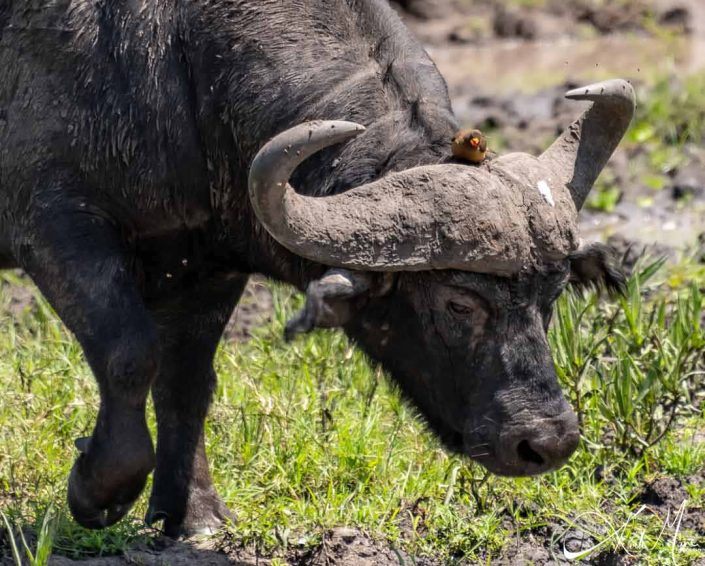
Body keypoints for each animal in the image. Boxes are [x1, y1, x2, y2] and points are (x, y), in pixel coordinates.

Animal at [1, 0, 632, 540]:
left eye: (552, 296)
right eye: (458, 303)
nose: (546, 442)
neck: (178, 68)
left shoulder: (207, 265)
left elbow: (187, 384)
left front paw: (193, 516)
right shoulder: (53, 225)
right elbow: (130, 354)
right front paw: (96, 490)